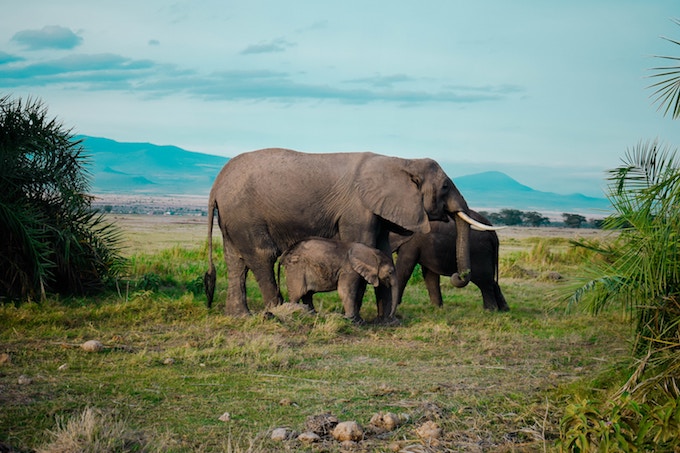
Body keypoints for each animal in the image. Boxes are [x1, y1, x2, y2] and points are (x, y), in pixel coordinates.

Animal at [202, 148, 494, 322]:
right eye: (445, 186)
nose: (457, 276)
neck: (400, 161)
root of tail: (216, 184)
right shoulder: (357, 209)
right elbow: (363, 245)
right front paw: (362, 321)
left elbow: (382, 250)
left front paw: (385, 321)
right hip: (245, 214)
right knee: (262, 256)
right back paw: (277, 314)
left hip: (233, 217)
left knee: (235, 261)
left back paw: (240, 317)